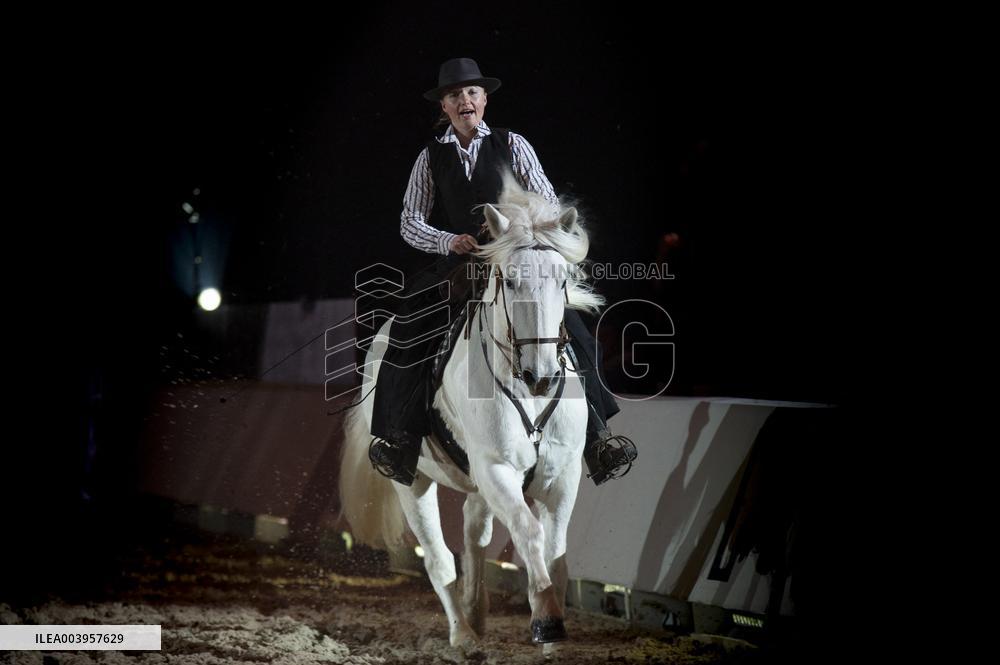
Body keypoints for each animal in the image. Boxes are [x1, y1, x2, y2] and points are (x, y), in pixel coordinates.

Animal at [338, 174, 605, 648]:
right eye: (509, 281)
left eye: (561, 280)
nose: (540, 375)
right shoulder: (496, 468)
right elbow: (529, 533)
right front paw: (545, 619)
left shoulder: (562, 475)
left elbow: (555, 551)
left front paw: (552, 618)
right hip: (414, 480)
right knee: (439, 557)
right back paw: (463, 635)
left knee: (473, 532)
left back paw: (475, 612)